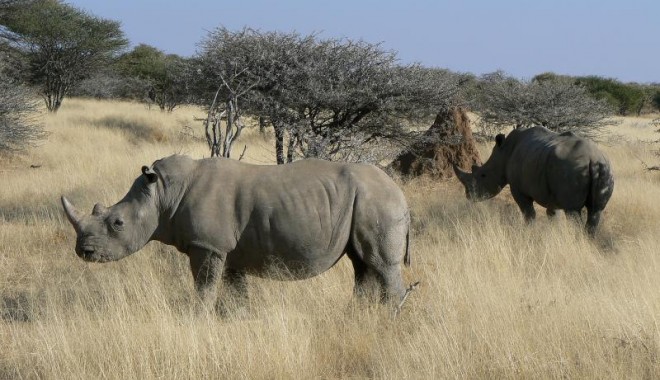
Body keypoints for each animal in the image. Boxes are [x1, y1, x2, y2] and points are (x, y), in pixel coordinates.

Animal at [62, 154, 412, 308]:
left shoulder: (207, 245)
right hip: (367, 201)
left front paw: (199, 319)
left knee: (380, 265)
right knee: (361, 264)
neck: (162, 194)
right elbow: (235, 291)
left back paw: (388, 320)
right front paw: (238, 319)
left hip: (378, 203)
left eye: (117, 224)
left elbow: (204, 288)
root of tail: (400, 193)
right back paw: (358, 316)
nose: (83, 252)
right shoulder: (227, 250)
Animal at [454, 126, 612, 236]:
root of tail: (593, 158)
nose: (468, 196)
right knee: (596, 211)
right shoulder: (551, 193)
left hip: (572, 168)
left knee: (573, 211)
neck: (503, 153)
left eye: (483, 175)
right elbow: (552, 214)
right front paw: (552, 233)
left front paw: (528, 231)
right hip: (604, 169)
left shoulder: (518, 189)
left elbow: (528, 213)